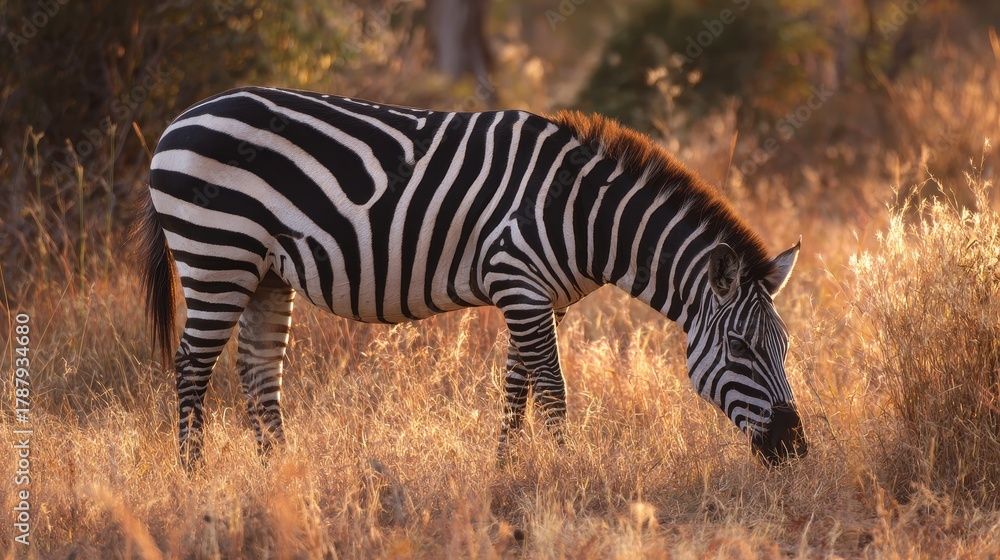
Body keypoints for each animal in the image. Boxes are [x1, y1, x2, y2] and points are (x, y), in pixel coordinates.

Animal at [136, 86, 807, 468]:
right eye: (740, 348)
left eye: (784, 347)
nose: (794, 448)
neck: (583, 214)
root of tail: (179, 120)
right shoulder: (519, 281)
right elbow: (552, 392)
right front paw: (567, 474)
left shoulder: (537, 297)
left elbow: (515, 389)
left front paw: (505, 474)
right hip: (217, 251)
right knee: (193, 364)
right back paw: (193, 475)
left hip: (266, 272)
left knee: (257, 369)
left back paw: (280, 476)